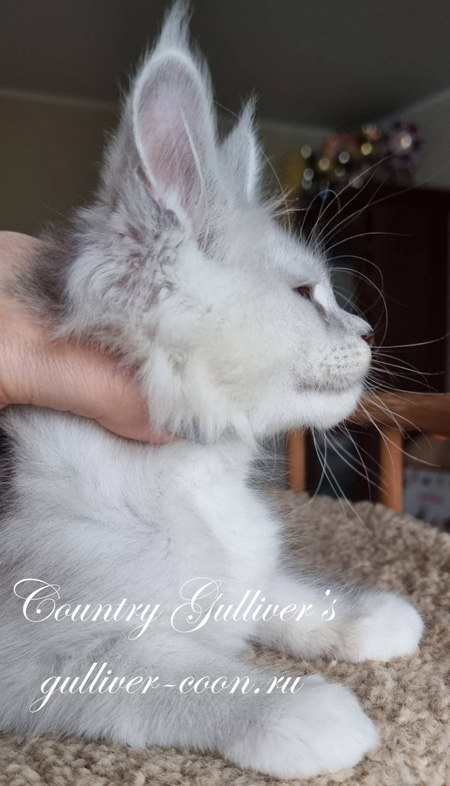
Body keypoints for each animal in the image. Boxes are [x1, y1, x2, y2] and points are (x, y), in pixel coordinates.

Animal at [0, 2, 423, 778]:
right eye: (307, 295)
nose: (368, 329)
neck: (198, 478)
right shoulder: (41, 649)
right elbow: (180, 673)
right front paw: (294, 709)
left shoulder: (244, 564)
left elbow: (278, 591)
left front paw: (364, 617)